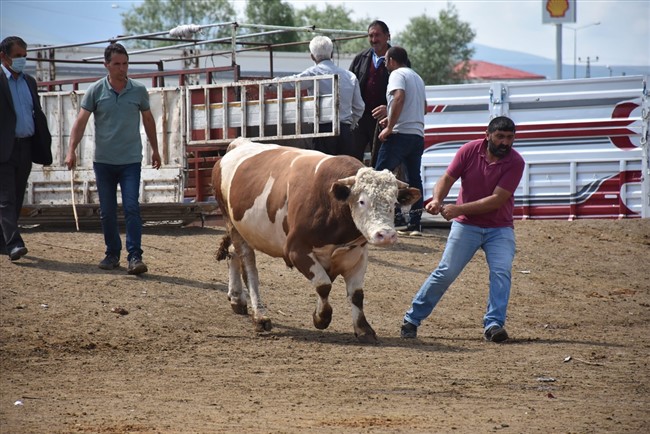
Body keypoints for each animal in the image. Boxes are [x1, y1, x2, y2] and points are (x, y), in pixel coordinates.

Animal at [210, 139, 418, 342]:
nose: (386, 235)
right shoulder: (297, 250)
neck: (332, 203)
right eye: (362, 201)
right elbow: (323, 285)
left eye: (394, 203)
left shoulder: (357, 255)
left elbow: (356, 294)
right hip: (233, 225)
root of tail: (238, 144)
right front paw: (321, 318)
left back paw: (237, 298)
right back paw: (260, 316)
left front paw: (363, 329)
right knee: (249, 268)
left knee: (233, 254)